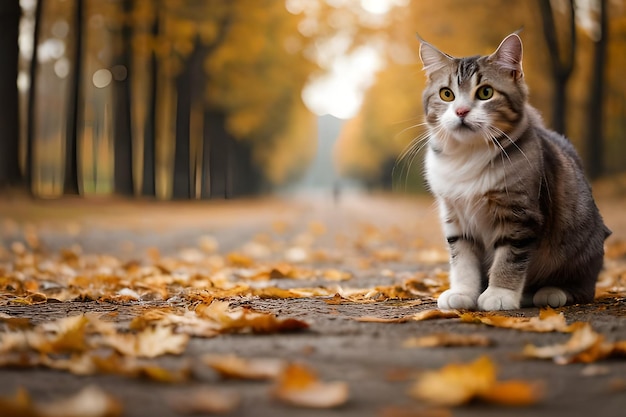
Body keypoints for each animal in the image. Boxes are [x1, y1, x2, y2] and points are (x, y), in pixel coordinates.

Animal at [416, 34, 608, 310]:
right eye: (446, 94)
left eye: (485, 92)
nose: (461, 111)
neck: (468, 155)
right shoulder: (455, 217)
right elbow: (463, 261)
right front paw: (463, 292)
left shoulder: (519, 216)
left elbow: (509, 258)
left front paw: (499, 293)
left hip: (581, 247)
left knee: (583, 286)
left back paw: (552, 291)